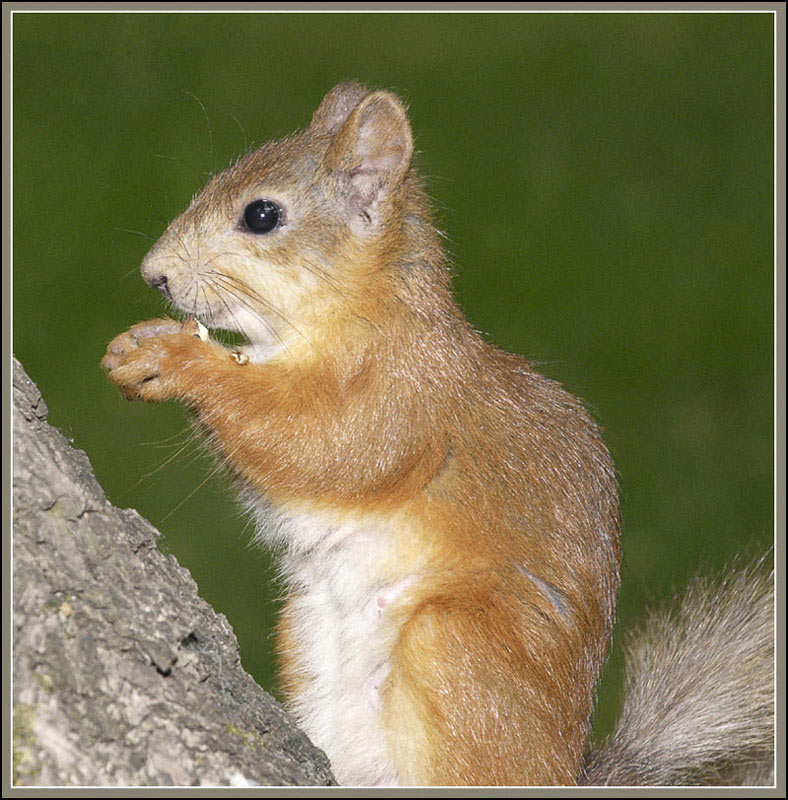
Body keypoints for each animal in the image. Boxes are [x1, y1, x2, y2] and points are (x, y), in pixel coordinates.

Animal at [101, 83, 774, 787]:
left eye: (262, 216)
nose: (153, 273)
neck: (357, 311)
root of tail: (561, 771)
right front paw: (141, 341)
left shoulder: (406, 397)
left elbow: (324, 447)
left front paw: (179, 360)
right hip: (307, 632)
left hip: (456, 650)